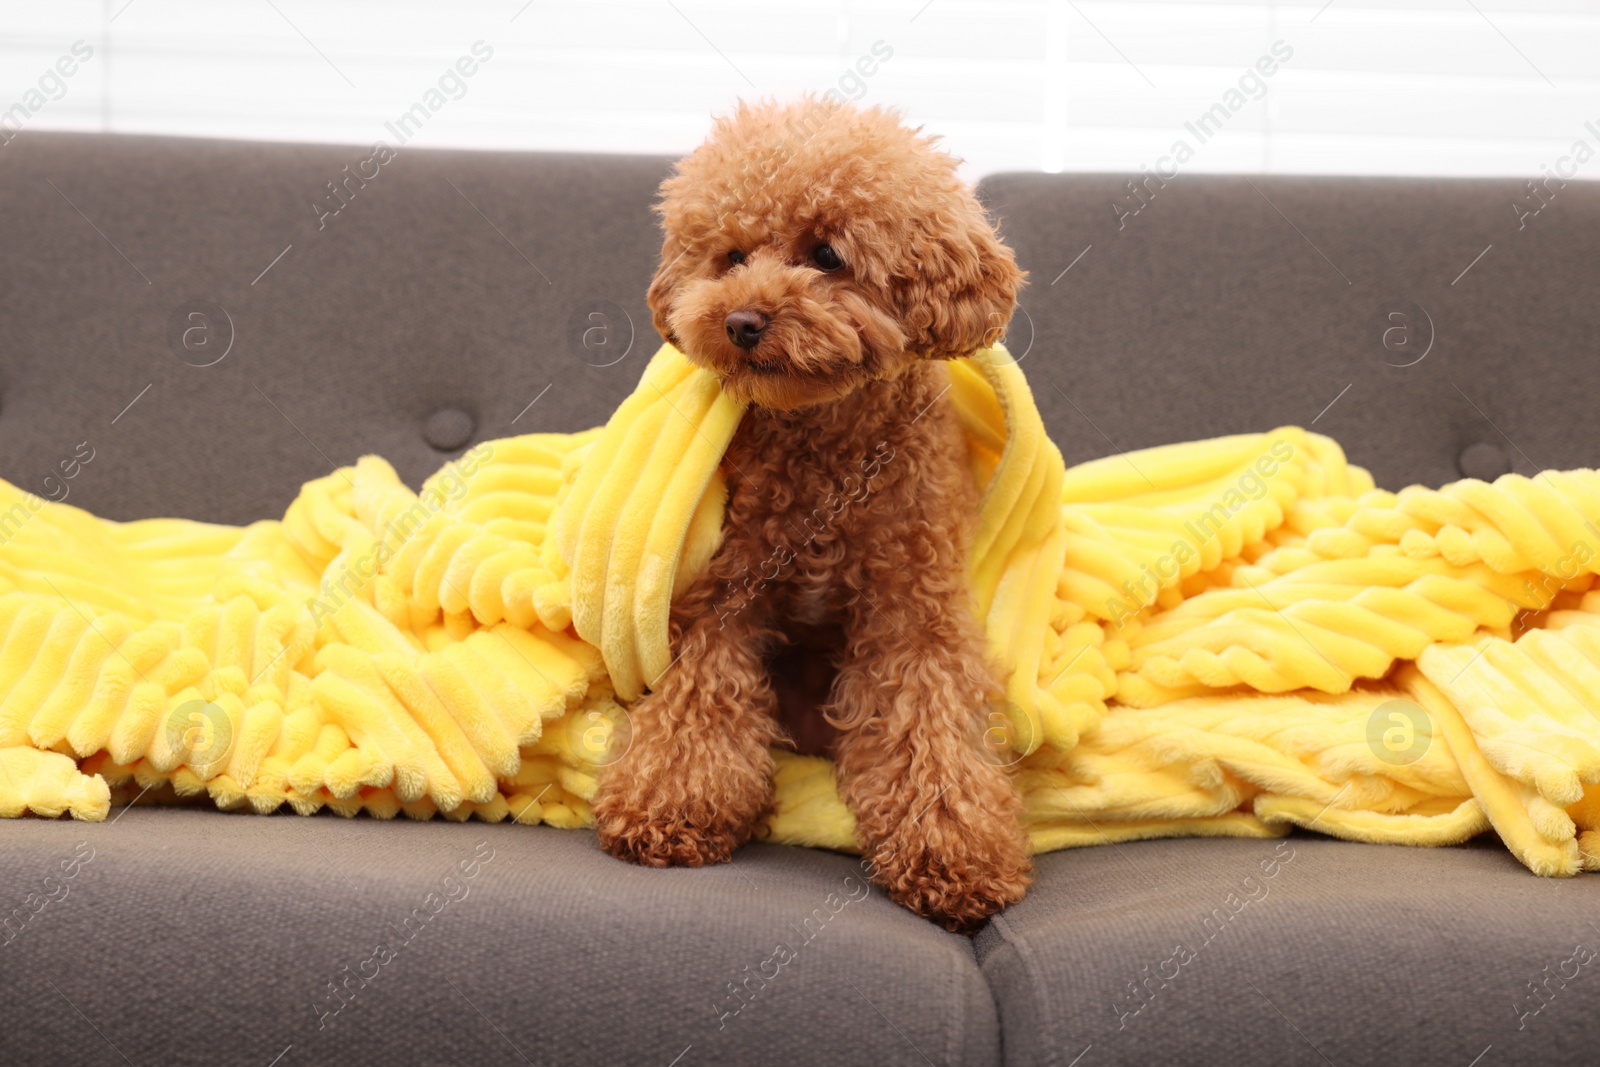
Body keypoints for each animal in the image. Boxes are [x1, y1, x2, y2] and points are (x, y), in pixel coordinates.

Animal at [595, 99, 1030, 934]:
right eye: (730, 255)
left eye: (826, 253)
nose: (740, 321)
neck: (824, 445)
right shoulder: (722, 593)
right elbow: (698, 701)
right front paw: (669, 804)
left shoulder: (913, 606)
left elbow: (928, 727)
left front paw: (953, 853)